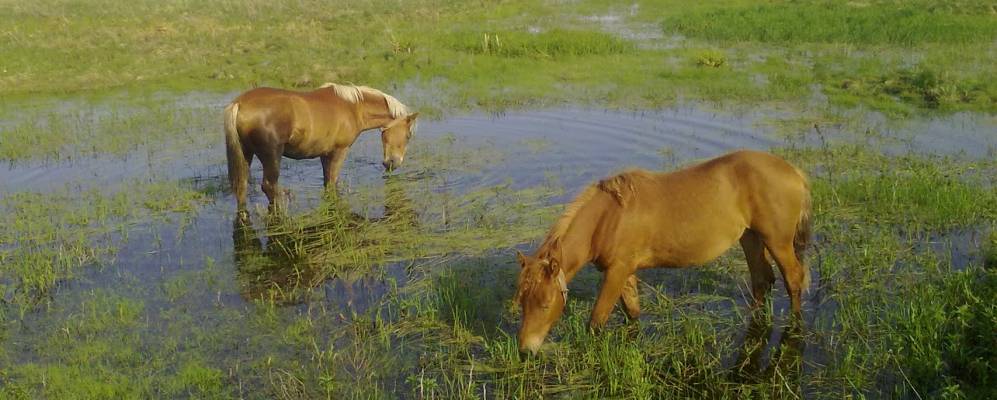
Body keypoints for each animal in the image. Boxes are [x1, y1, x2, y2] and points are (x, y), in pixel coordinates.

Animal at [222, 83, 416, 211]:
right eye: (408, 136)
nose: (393, 163)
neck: (353, 107)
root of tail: (239, 104)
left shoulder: (325, 154)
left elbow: (326, 182)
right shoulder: (340, 151)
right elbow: (332, 182)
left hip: (245, 153)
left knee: (241, 186)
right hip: (272, 155)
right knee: (269, 186)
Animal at [512, 150, 808, 354]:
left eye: (545, 304)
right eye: (522, 301)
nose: (526, 351)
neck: (609, 216)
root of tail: (794, 172)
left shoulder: (617, 272)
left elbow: (596, 321)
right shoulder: (623, 272)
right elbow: (632, 312)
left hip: (778, 242)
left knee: (793, 278)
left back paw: (795, 327)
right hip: (751, 238)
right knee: (762, 280)